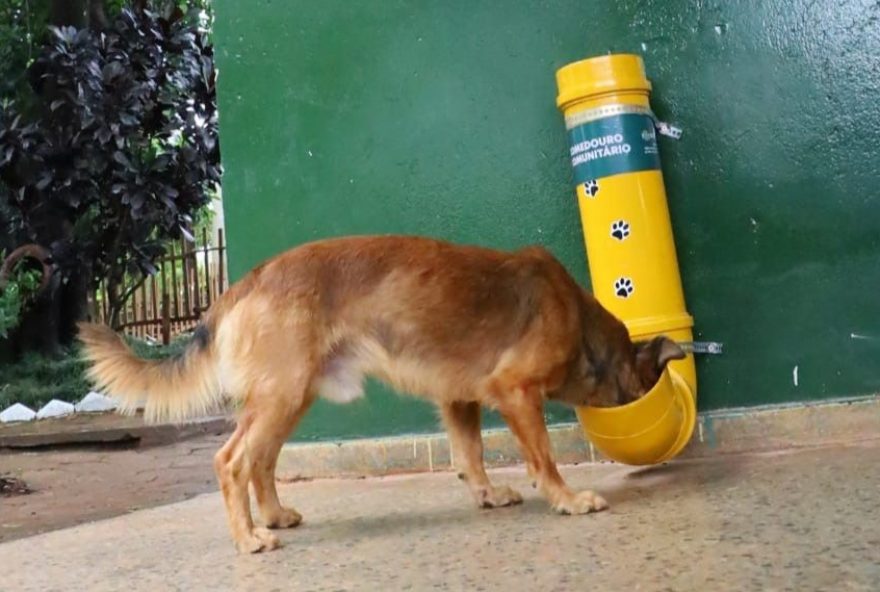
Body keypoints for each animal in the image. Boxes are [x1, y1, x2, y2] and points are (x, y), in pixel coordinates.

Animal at [79, 234, 684, 552]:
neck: (580, 324)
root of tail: (245, 282)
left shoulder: (458, 399)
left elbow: (470, 454)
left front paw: (487, 494)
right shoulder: (514, 391)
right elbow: (544, 458)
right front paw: (567, 499)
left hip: (290, 398)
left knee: (261, 461)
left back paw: (272, 517)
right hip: (281, 397)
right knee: (232, 461)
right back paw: (250, 539)